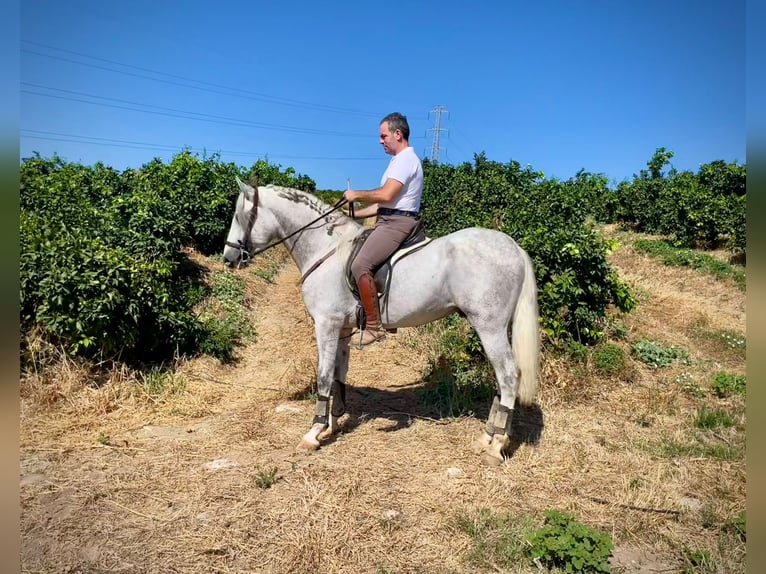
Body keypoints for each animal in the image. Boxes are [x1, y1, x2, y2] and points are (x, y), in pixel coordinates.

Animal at [225, 180, 544, 468]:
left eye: (241, 216)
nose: (229, 258)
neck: (327, 249)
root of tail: (514, 247)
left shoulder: (326, 326)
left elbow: (324, 377)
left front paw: (314, 432)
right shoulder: (341, 329)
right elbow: (339, 374)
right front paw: (333, 423)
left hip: (489, 327)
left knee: (509, 375)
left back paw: (496, 446)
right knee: (502, 380)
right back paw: (486, 437)